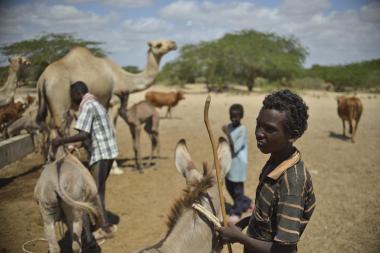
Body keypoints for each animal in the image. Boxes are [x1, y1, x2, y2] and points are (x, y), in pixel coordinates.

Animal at [35, 40, 177, 134]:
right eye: (158, 44)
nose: (173, 43)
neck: (122, 76)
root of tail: (43, 78)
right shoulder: (114, 100)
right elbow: (112, 128)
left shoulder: (104, 102)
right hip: (59, 101)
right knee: (60, 127)